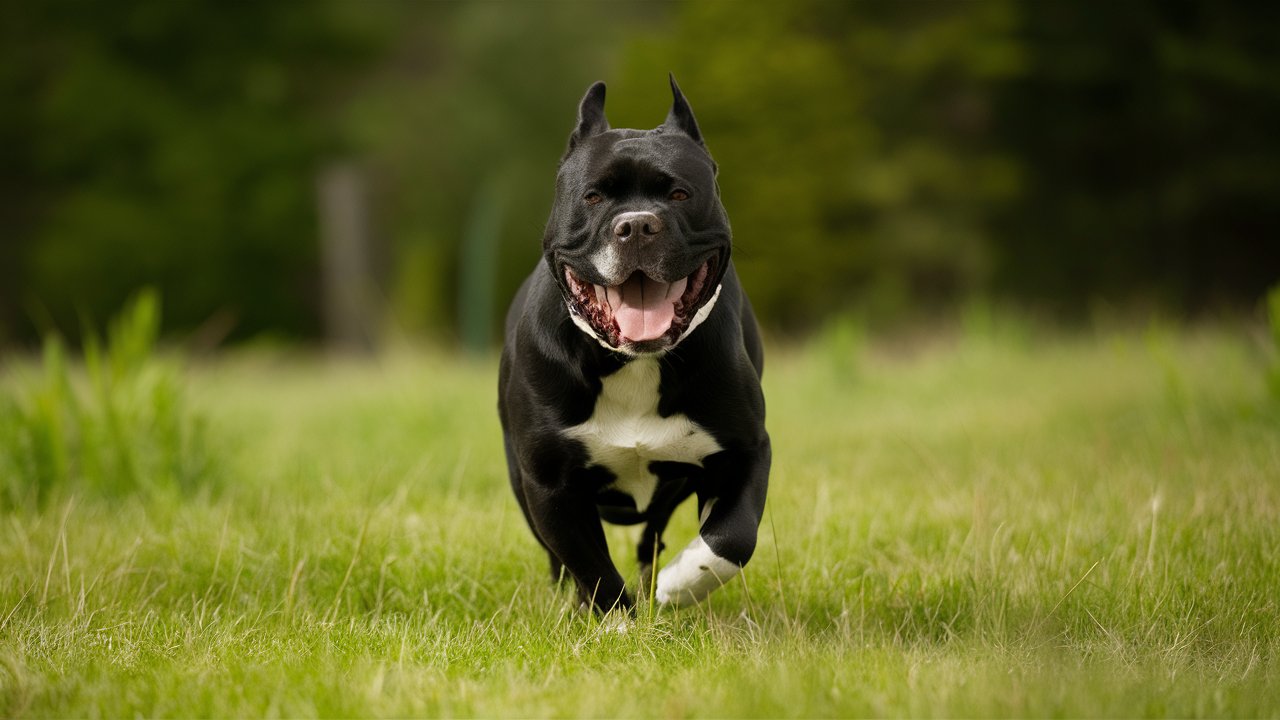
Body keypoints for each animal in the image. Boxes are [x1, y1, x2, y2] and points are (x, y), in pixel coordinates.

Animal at [494, 75, 762, 609]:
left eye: (680, 193)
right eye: (594, 197)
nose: (637, 223)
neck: (634, 361)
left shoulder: (746, 450)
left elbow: (735, 536)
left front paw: (681, 582)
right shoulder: (550, 484)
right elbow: (591, 566)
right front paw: (618, 618)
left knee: (653, 534)